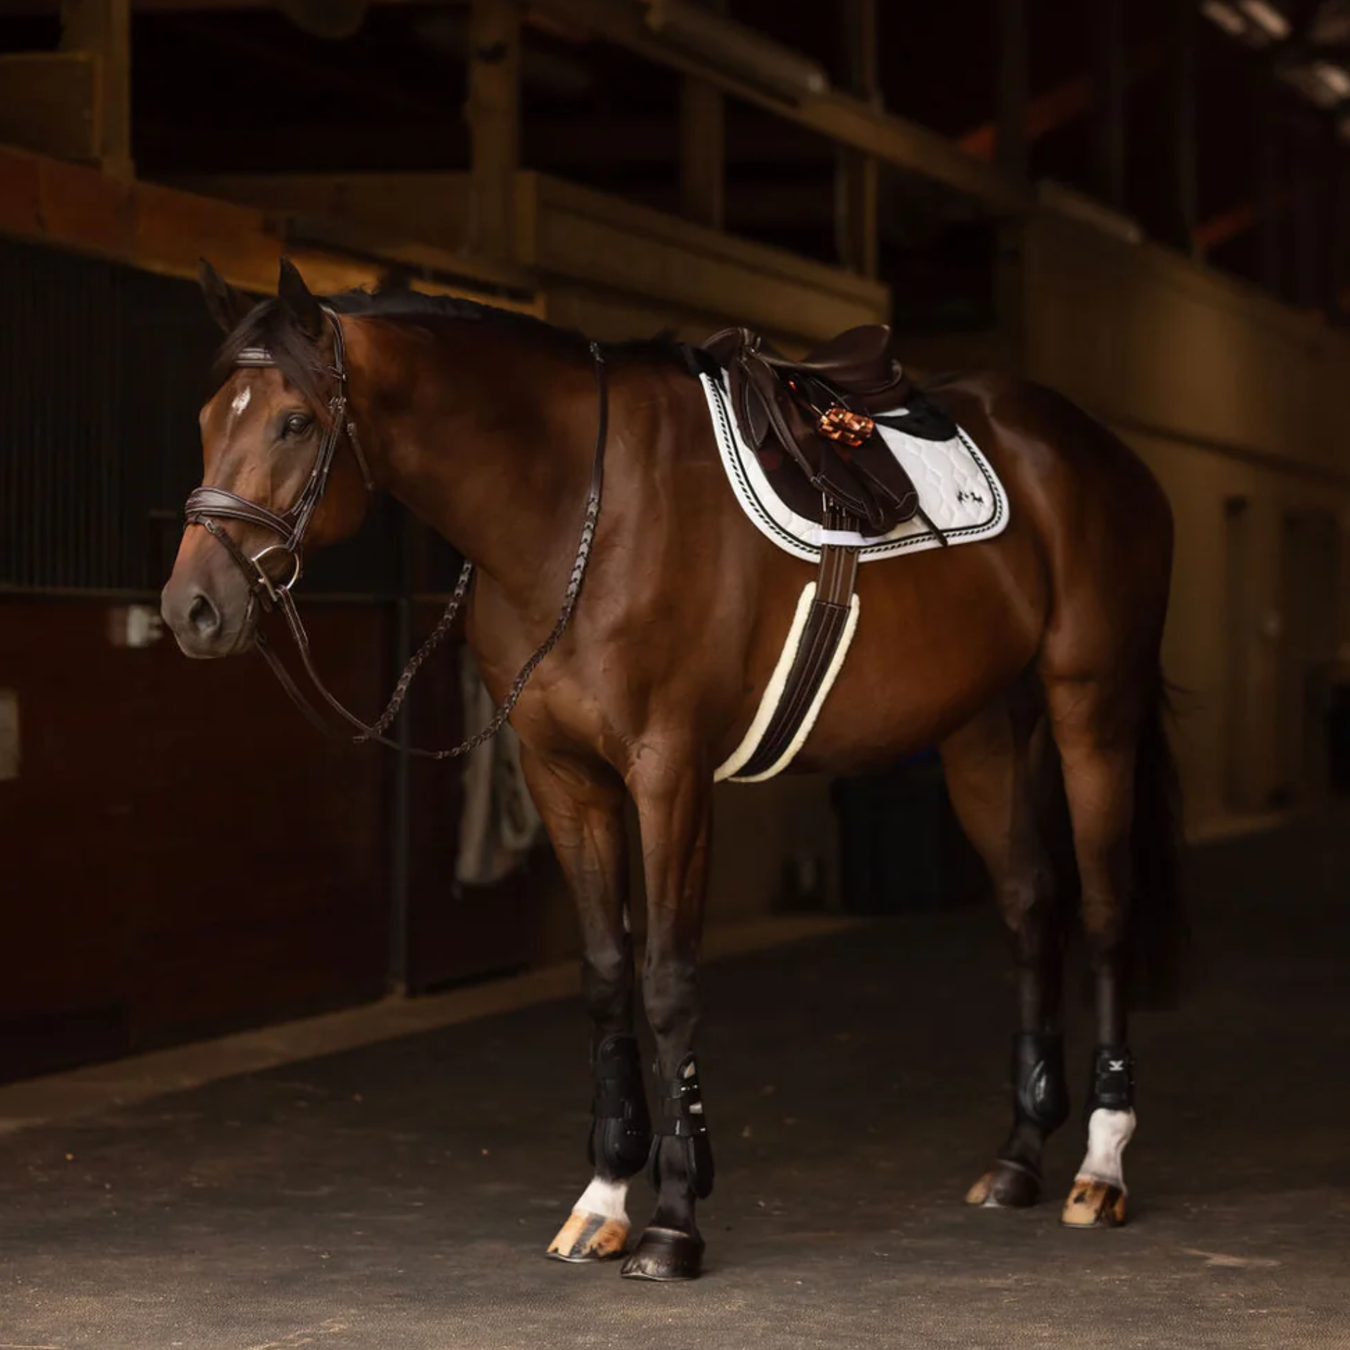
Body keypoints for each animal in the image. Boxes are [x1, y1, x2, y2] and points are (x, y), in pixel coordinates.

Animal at [161, 258, 1183, 1282]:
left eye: (295, 422)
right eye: (209, 419)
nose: (191, 609)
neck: (579, 508)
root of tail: (1101, 452)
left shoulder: (671, 773)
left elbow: (668, 981)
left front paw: (674, 1220)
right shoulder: (564, 777)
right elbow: (606, 975)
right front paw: (604, 1198)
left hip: (1091, 707)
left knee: (1104, 911)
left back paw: (1100, 1168)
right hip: (983, 734)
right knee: (1031, 907)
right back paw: (1018, 1159)